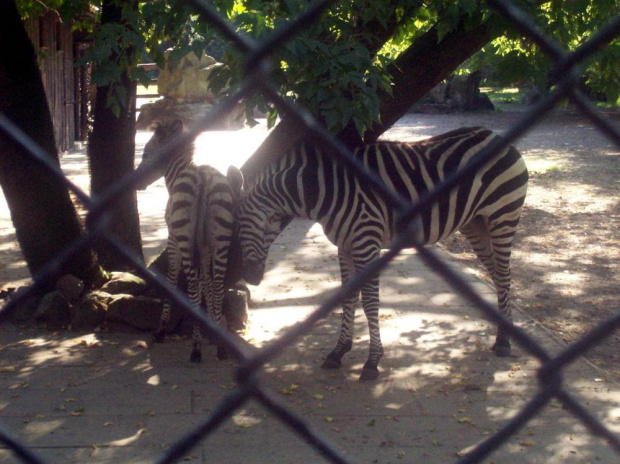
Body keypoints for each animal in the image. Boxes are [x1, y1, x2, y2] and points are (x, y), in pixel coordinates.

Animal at [137, 118, 243, 362]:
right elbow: (207, 283)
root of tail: (202, 177)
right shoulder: (204, 247)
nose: (136, 183)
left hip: (185, 239)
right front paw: (214, 324)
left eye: (145, 153)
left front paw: (161, 330)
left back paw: (195, 348)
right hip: (221, 237)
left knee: (192, 285)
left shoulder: (172, 240)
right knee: (217, 284)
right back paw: (220, 347)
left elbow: (172, 279)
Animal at [237, 127, 528, 380]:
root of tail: (495, 135)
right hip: (475, 223)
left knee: (504, 275)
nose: (250, 278)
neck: (324, 190)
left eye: (246, 226)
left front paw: (372, 361)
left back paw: (504, 342)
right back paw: (503, 334)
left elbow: (370, 303)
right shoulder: (345, 246)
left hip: (503, 215)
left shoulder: (366, 243)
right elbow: (348, 298)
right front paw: (339, 351)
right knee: (496, 274)